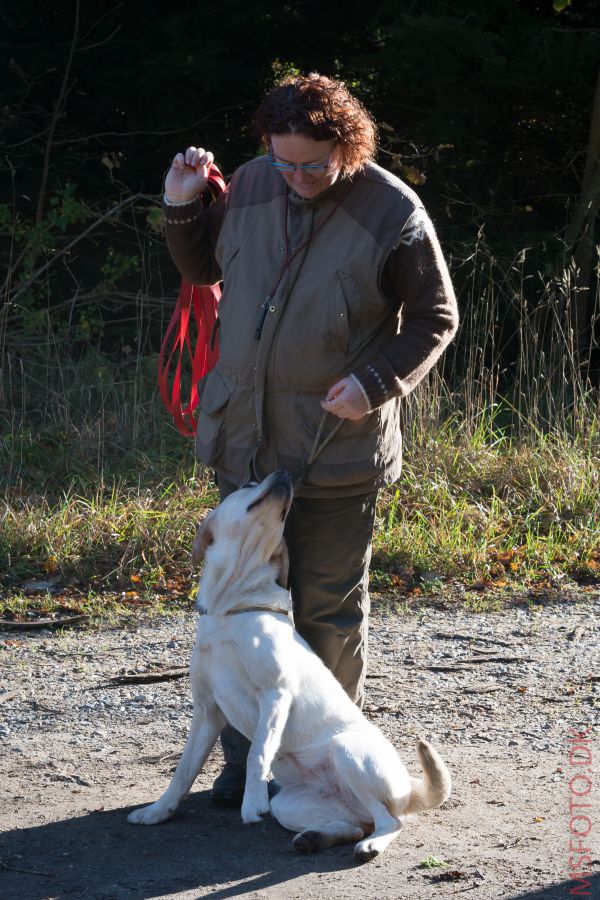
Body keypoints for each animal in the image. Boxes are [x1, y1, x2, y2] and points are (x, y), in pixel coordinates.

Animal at [130, 468, 450, 860]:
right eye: (247, 484)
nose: (283, 472)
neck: (232, 606)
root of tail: (408, 788)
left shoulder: (275, 693)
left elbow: (257, 752)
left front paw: (252, 800)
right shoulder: (207, 711)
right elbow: (183, 771)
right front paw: (159, 811)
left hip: (346, 751)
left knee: (390, 822)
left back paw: (370, 844)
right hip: (290, 805)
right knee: (355, 824)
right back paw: (315, 838)